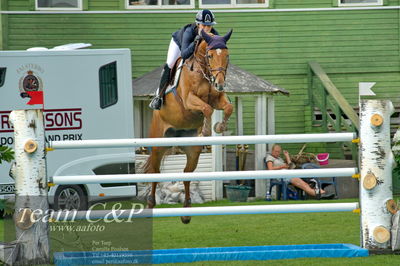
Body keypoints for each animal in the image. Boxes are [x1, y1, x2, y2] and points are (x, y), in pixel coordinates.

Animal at [144, 29, 233, 223]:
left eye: (227, 56)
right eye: (210, 55)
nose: (220, 84)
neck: (204, 71)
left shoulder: (217, 98)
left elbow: (228, 107)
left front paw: (219, 127)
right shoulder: (188, 100)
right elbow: (206, 108)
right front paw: (206, 130)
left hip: (192, 151)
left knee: (186, 174)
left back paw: (186, 212)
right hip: (158, 145)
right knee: (155, 172)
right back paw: (150, 205)